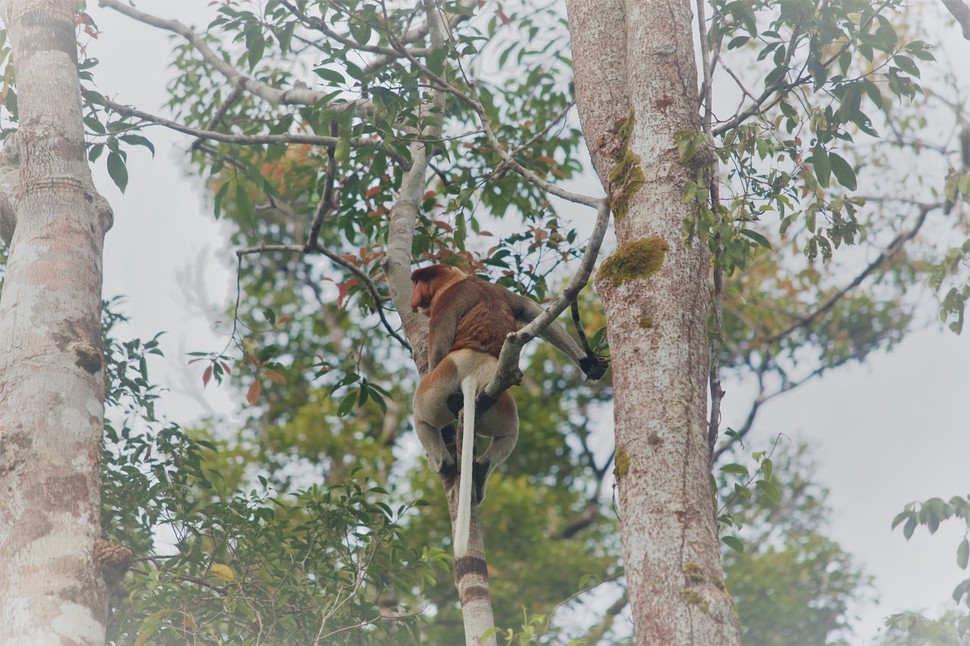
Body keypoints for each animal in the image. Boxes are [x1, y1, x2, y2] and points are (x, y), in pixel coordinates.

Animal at [408, 266, 604, 560]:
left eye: (420, 280)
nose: (413, 298)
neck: (458, 280)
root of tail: (477, 370)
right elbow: (530, 309)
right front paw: (589, 363)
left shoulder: (446, 302)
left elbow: (439, 344)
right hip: (496, 402)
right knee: (510, 431)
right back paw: (479, 471)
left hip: (440, 382)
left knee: (420, 413)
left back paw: (443, 464)